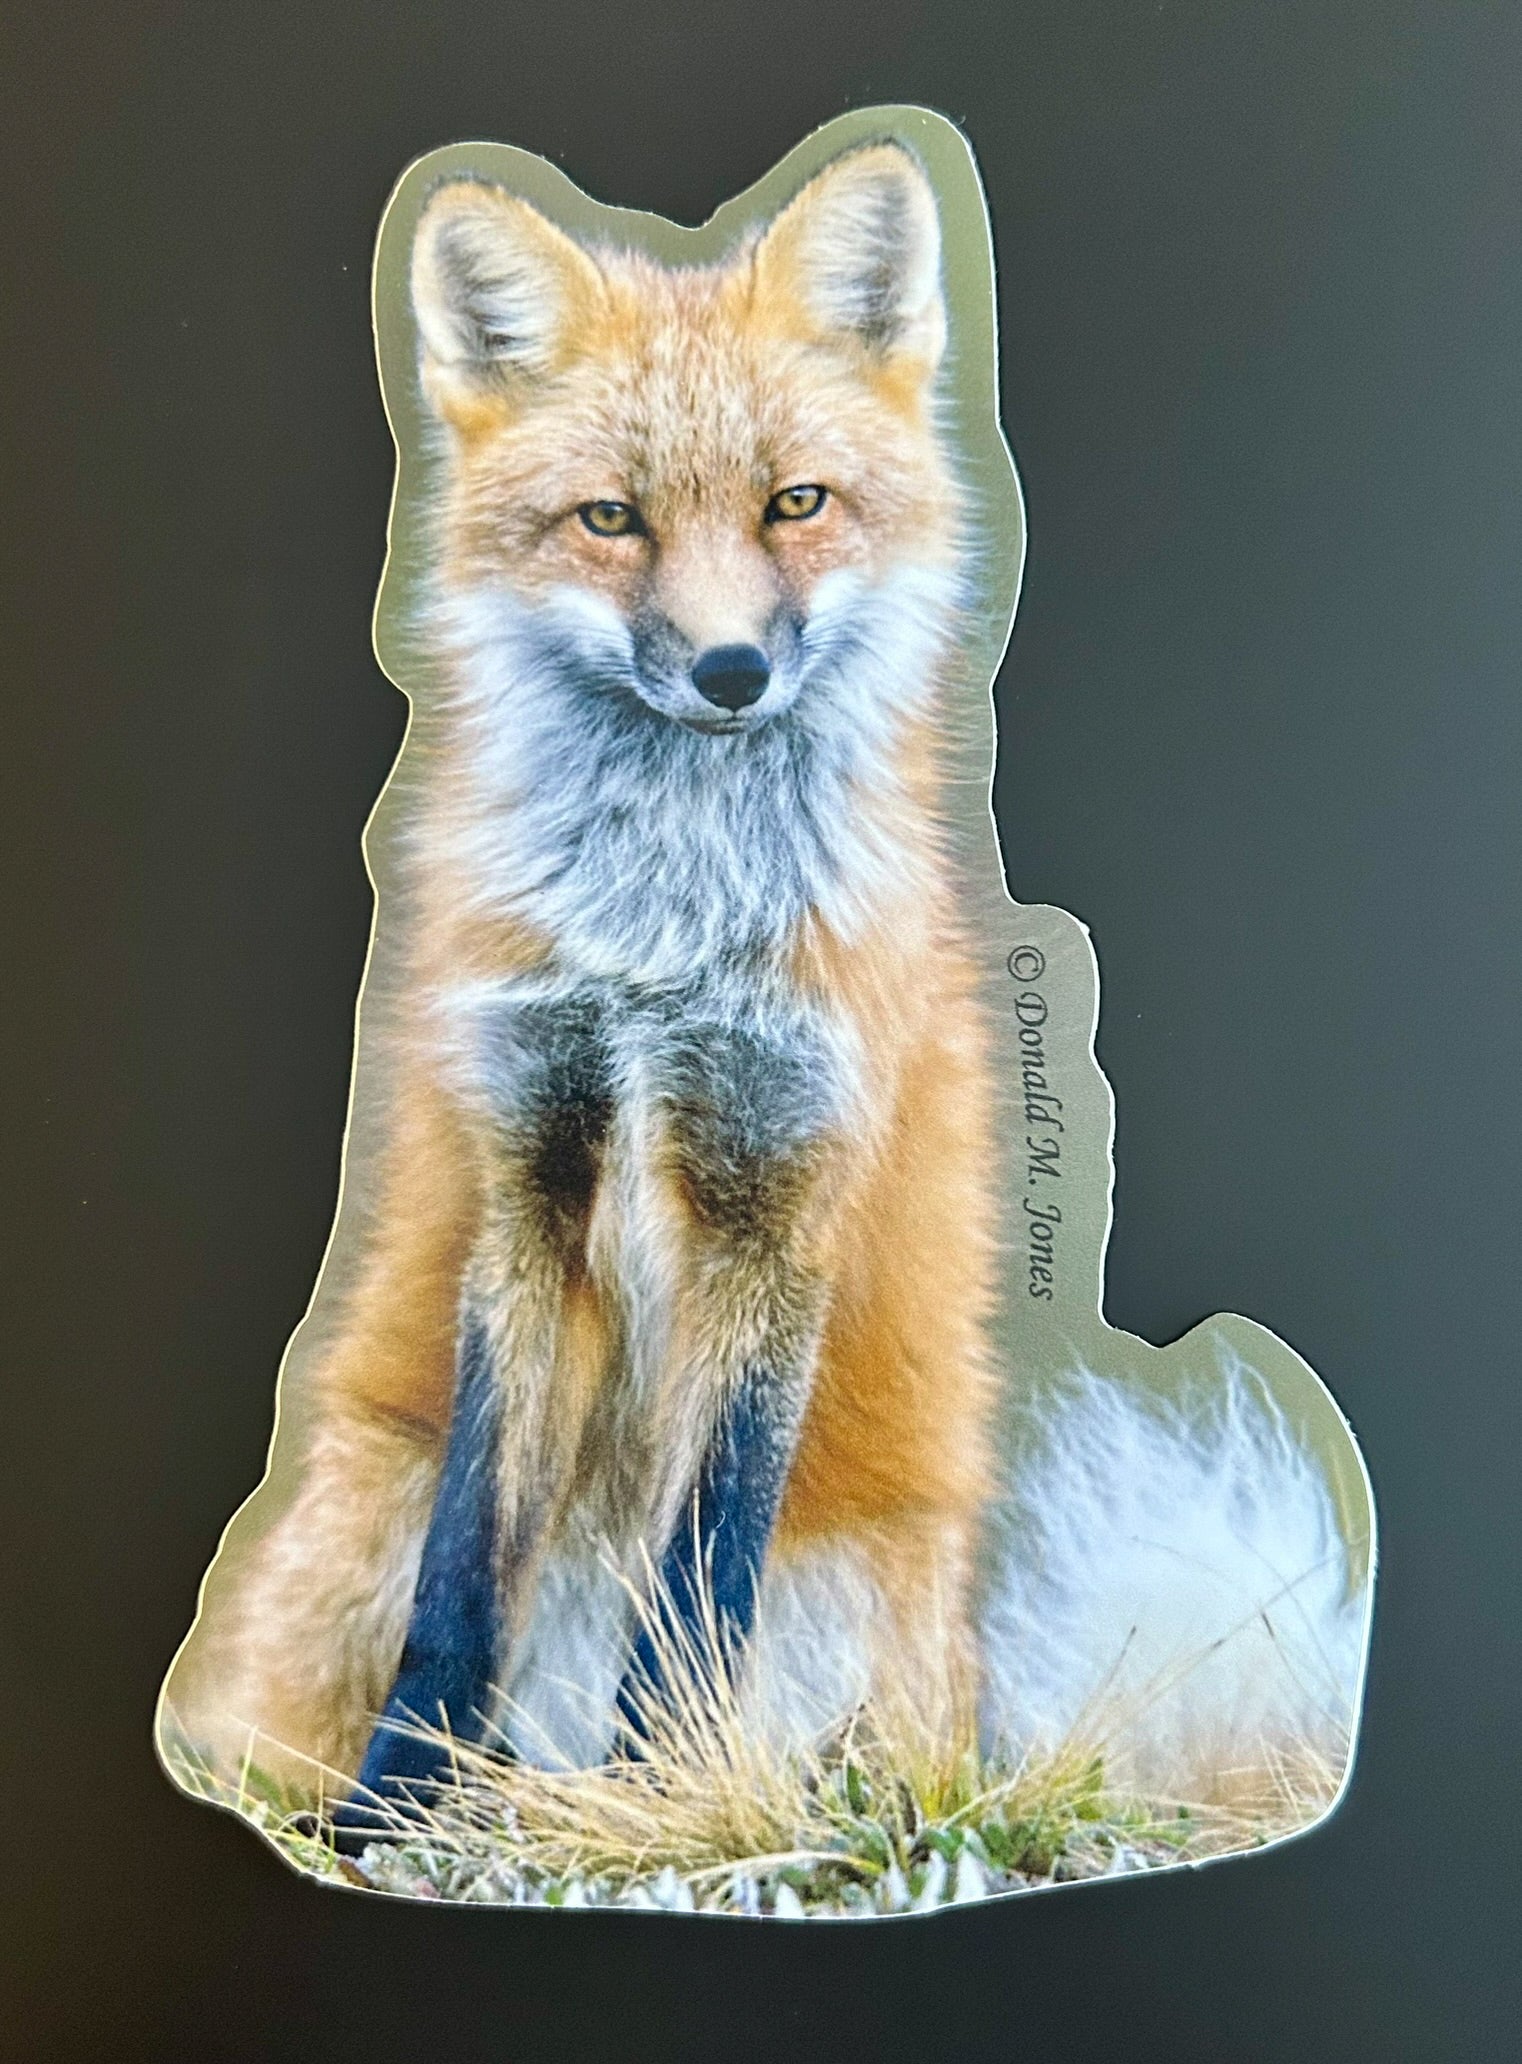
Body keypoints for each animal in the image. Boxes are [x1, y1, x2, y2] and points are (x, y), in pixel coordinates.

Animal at [195, 140, 1000, 1816]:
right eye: (610, 519)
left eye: (794, 504)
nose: (729, 673)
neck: (655, 951)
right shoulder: (530, 1184)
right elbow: (466, 1572)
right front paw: (396, 1810)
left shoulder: (778, 1213)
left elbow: (698, 1576)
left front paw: (665, 1808)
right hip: (350, 1517)